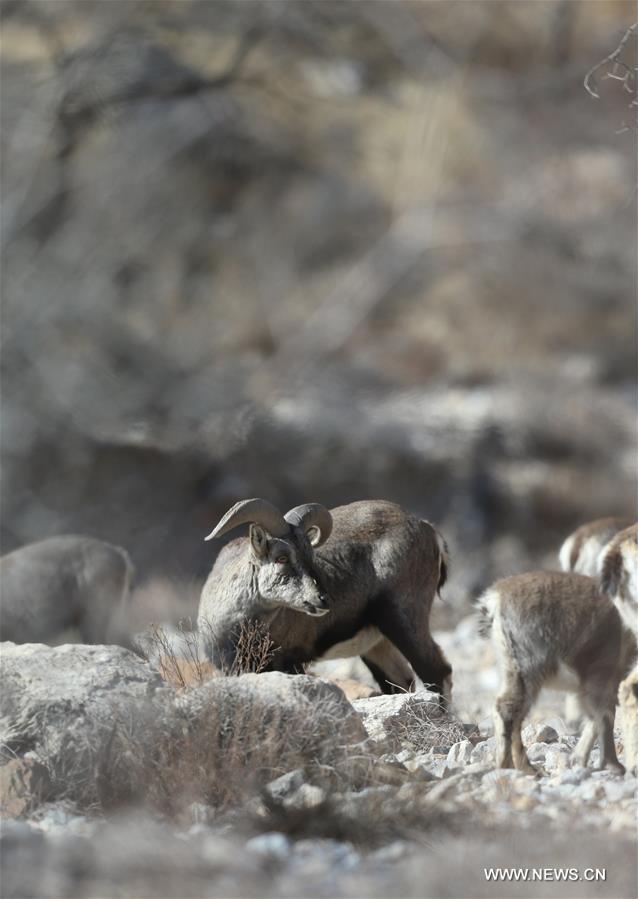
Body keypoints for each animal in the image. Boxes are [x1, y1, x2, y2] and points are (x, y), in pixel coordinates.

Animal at [197, 498, 452, 698]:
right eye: (281, 557)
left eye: (310, 554)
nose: (322, 600)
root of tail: (429, 530)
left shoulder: (291, 662)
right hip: (377, 641)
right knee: (400, 680)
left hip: (403, 618)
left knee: (436, 671)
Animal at [478, 571, 634, 775]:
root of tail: (496, 598)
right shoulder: (602, 672)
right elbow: (604, 716)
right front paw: (613, 765)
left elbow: (595, 718)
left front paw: (578, 759)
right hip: (529, 667)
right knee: (508, 708)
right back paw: (515, 766)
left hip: (512, 666)